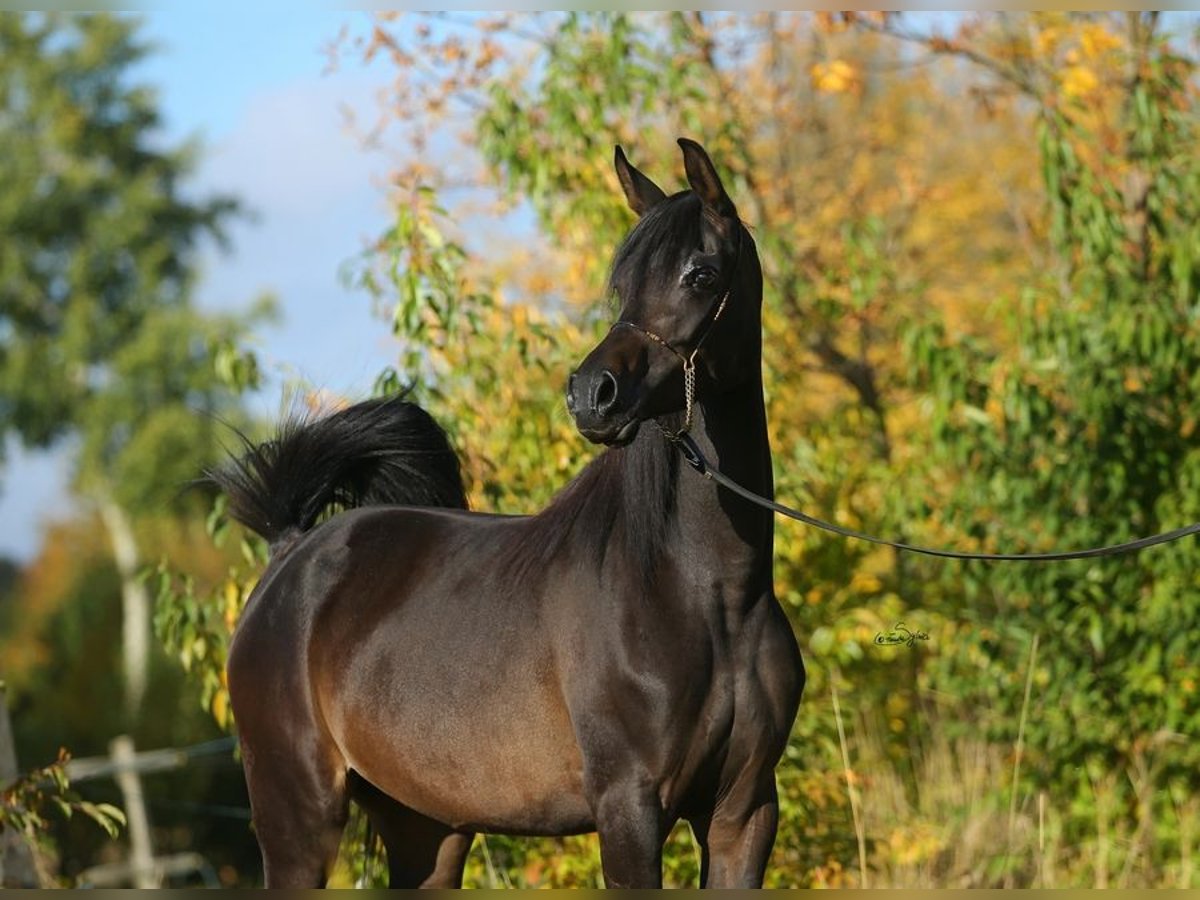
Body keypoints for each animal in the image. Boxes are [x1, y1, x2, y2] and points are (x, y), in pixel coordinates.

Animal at [216, 137, 806, 892]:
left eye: (700, 273)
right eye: (623, 283)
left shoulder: (744, 813)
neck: (707, 593)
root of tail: (290, 555)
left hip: (426, 829)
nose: (592, 395)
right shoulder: (629, 809)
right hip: (299, 821)